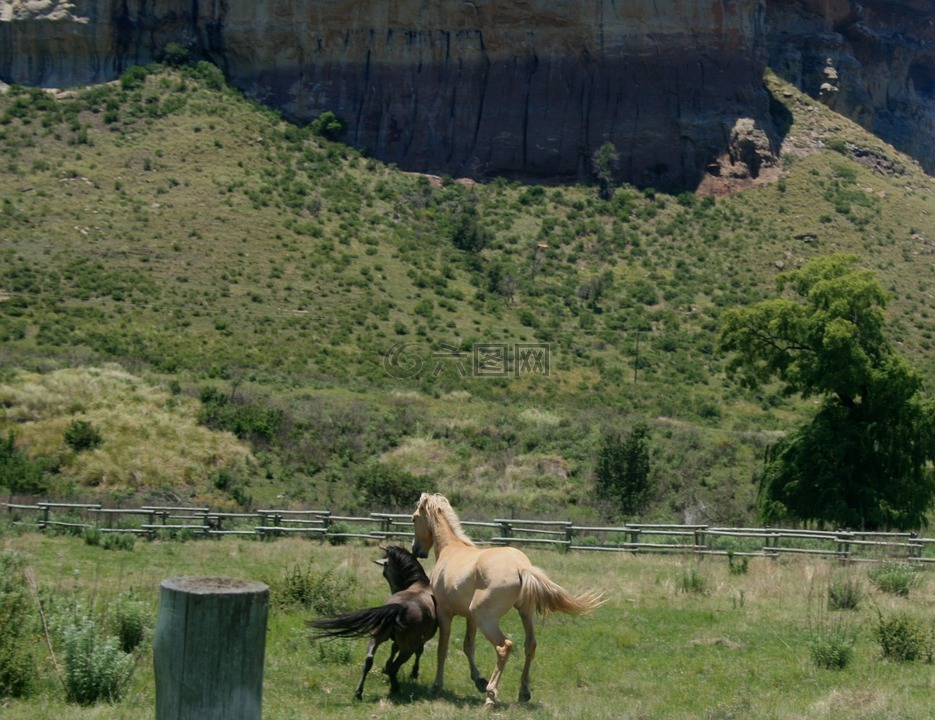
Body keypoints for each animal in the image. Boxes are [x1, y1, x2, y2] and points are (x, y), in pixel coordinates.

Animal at [308, 544, 436, 696]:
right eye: (384, 573)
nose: (396, 589)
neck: (421, 584)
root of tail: (399, 607)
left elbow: (393, 648)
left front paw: (386, 666)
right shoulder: (422, 638)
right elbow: (418, 651)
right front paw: (414, 673)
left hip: (376, 636)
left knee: (368, 660)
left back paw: (359, 692)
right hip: (407, 648)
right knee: (395, 668)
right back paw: (395, 688)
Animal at [414, 492, 604, 704]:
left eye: (414, 518)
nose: (416, 550)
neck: (451, 549)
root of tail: (521, 567)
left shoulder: (445, 613)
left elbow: (442, 649)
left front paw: (436, 687)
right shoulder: (470, 618)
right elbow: (468, 646)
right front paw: (478, 680)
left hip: (486, 619)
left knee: (504, 647)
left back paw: (491, 695)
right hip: (524, 613)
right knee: (530, 644)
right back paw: (523, 692)